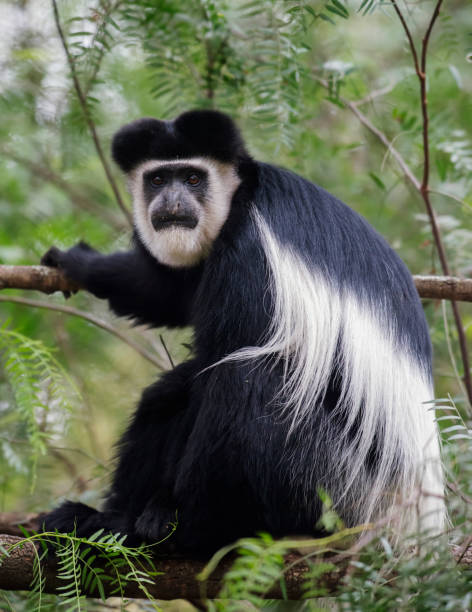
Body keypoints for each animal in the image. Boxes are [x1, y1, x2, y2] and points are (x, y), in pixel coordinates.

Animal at [42, 111, 444, 556]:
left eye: (193, 178)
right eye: (158, 179)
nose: (172, 202)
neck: (240, 197)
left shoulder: (250, 252)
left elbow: (221, 357)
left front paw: (163, 515)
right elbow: (169, 292)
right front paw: (79, 262)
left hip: (332, 480)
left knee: (248, 379)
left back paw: (182, 530)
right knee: (172, 395)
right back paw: (103, 520)